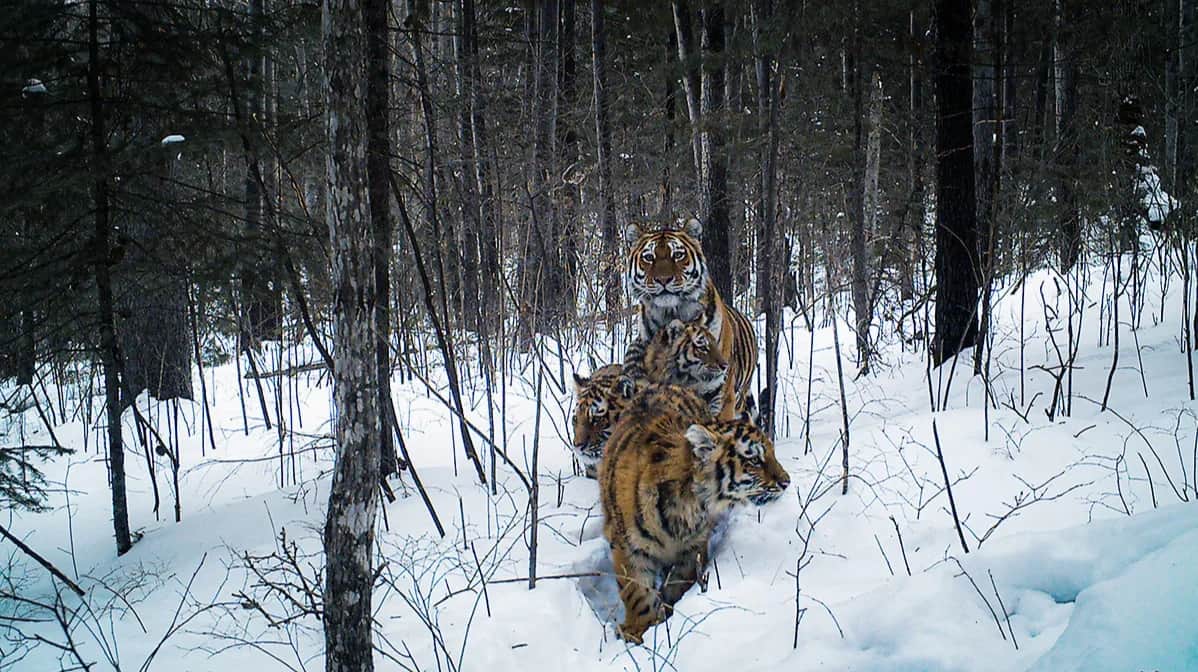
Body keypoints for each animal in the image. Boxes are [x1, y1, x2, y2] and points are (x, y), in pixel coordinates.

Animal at [598, 383, 790, 645]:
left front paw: (668, 614)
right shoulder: (629, 547)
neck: (688, 501)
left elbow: (678, 583)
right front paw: (638, 631)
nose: (786, 482)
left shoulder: (692, 548)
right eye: (754, 460)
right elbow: (637, 593)